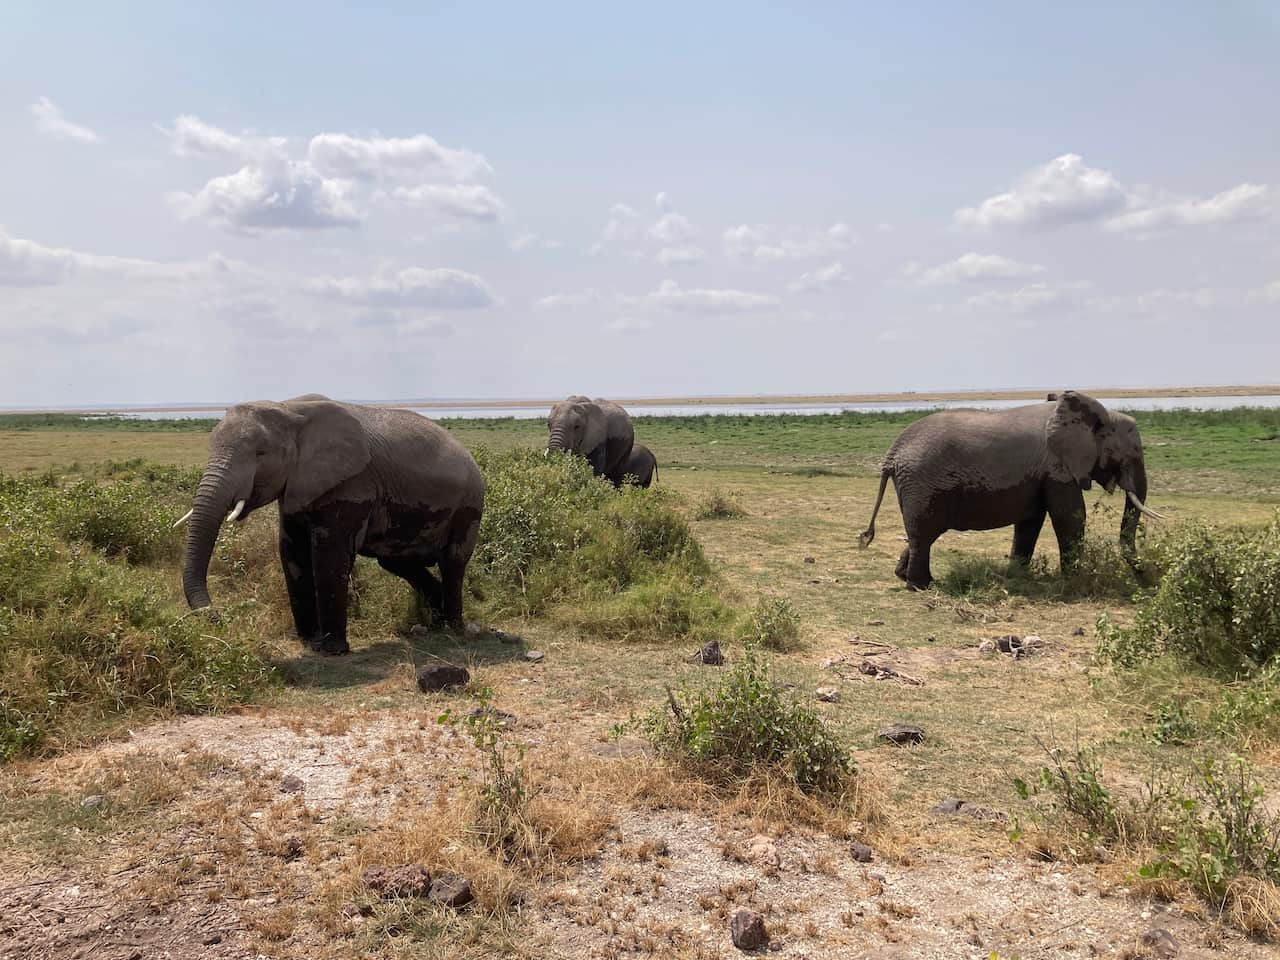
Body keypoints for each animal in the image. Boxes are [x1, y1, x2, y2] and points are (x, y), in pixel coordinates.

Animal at [172, 394, 481, 660]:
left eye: (260, 454)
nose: (219, 617)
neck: (289, 409)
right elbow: (291, 552)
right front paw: (306, 640)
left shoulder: (351, 485)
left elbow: (329, 557)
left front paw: (331, 650)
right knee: (398, 563)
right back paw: (436, 620)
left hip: (469, 504)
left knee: (453, 561)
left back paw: (453, 629)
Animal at [860, 391, 1162, 591]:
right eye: (1133, 453)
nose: (1148, 579)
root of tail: (892, 453)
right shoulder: (1058, 468)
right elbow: (1070, 517)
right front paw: (1076, 580)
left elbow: (1030, 522)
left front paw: (1018, 577)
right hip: (922, 483)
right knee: (924, 533)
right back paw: (921, 586)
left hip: (917, 485)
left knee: (922, 533)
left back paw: (905, 577)